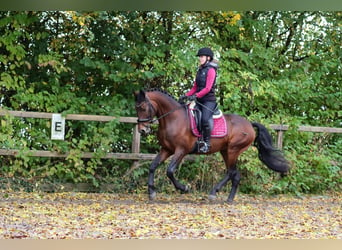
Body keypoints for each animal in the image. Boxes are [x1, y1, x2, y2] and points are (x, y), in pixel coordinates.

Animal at [134, 89, 288, 202]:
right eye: (137, 109)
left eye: (143, 107)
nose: (142, 130)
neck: (173, 118)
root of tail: (249, 124)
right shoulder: (167, 149)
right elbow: (153, 166)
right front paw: (151, 192)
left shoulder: (181, 150)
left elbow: (170, 171)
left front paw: (184, 188)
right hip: (226, 151)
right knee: (234, 173)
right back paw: (229, 198)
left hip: (233, 150)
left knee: (231, 172)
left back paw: (214, 193)